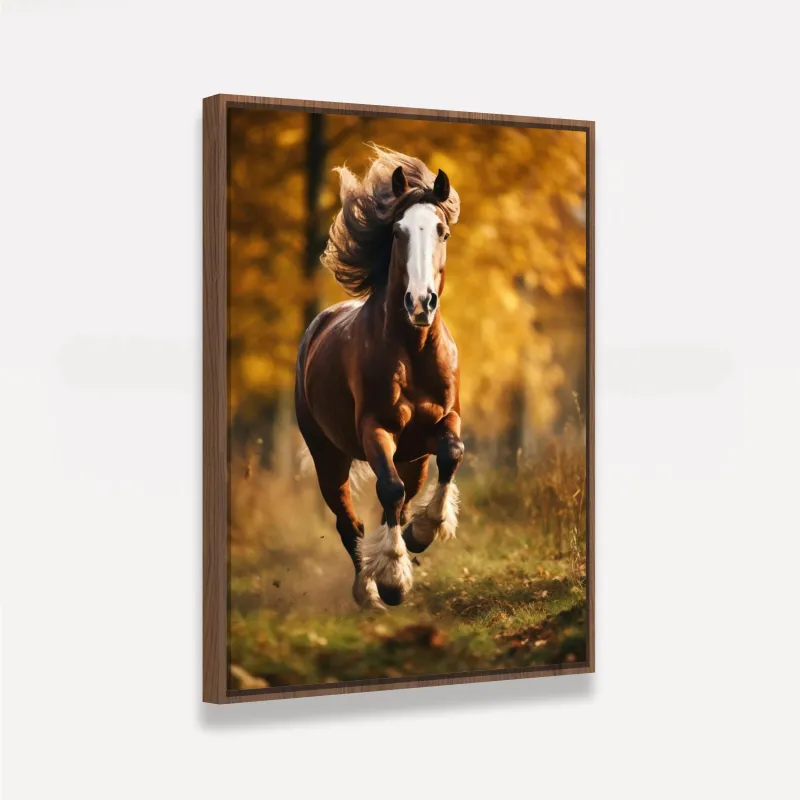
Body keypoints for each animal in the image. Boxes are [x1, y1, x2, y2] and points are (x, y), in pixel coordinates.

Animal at [294, 145, 465, 610]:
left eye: (442, 231)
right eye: (398, 231)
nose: (421, 303)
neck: (413, 349)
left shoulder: (444, 421)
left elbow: (452, 454)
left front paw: (422, 532)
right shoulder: (376, 428)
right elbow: (388, 490)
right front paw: (392, 580)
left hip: (414, 457)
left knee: (406, 495)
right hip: (328, 455)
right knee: (347, 521)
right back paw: (366, 590)